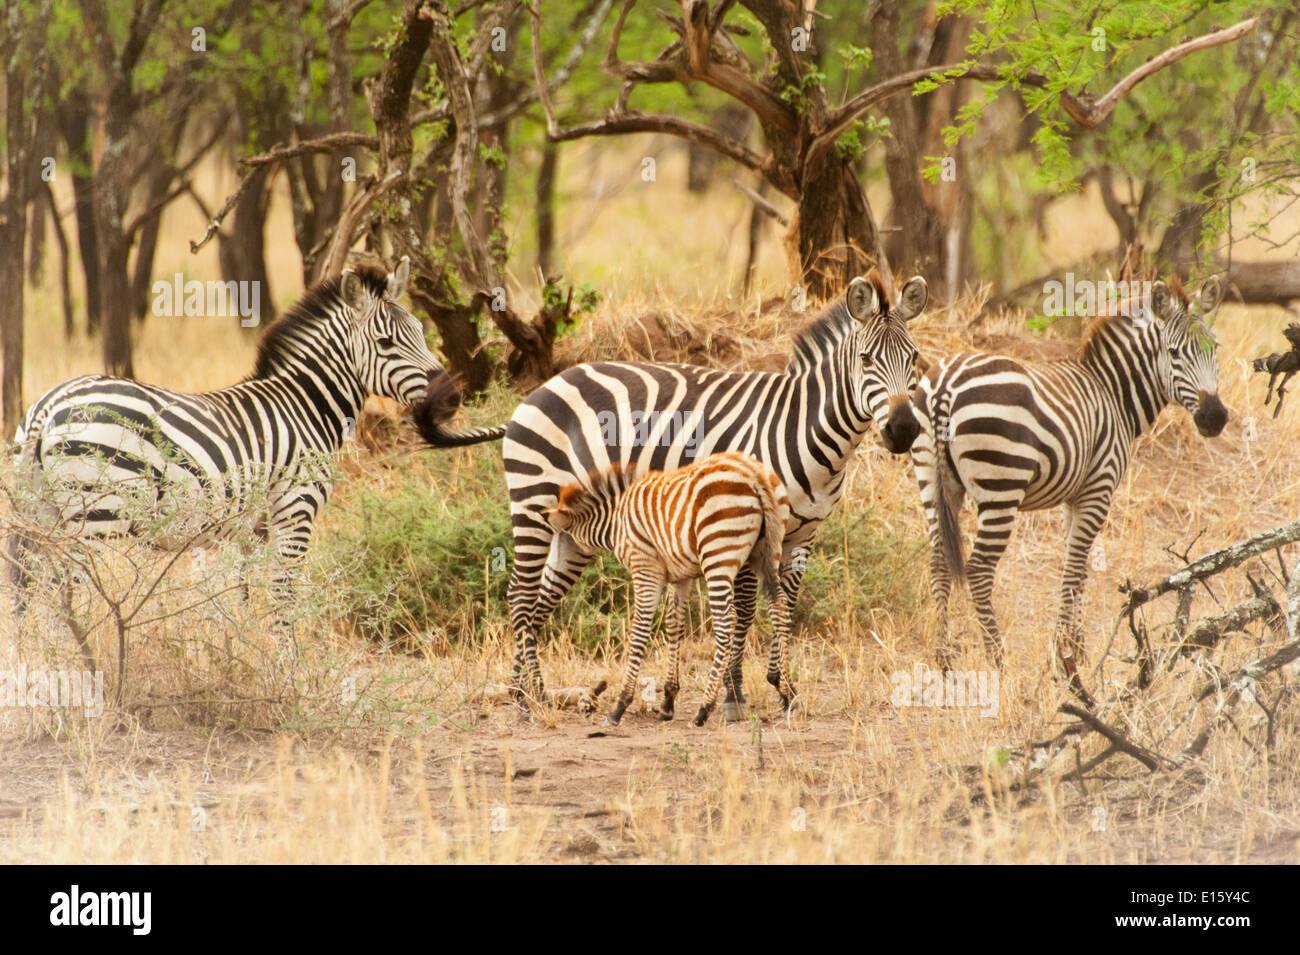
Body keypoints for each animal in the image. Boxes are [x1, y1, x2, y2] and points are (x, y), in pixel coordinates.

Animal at [8, 257, 496, 670]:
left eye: (421, 331)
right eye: (387, 342)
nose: (452, 399)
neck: (305, 405)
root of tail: (47, 407)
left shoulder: (247, 529)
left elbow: (238, 599)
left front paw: (239, 663)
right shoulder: (295, 510)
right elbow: (284, 594)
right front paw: (289, 674)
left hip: (42, 517)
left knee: (33, 597)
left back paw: (45, 674)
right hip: (93, 518)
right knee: (65, 598)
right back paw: (81, 675)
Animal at [546, 452, 790, 727]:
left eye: (559, 541)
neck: (615, 519)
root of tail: (753, 474)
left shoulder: (645, 568)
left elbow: (640, 629)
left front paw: (620, 705)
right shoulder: (680, 575)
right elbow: (674, 626)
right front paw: (668, 700)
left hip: (718, 555)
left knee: (727, 621)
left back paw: (704, 708)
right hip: (769, 551)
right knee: (779, 604)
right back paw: (788, 692)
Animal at [909, 276, 1222, 701]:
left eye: (1215, 349)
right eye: (1173, 354)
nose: (1215, 418)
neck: (1112, 393)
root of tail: (944, 384)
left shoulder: (1073, 499)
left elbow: (1078, 571)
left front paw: (1076, 649)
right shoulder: (1097, 489)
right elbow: (1075, 569)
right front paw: (1067, 657)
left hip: (932, 479)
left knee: (939, 562)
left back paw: (943, 661)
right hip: (1001, 485)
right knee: (978, 569)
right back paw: (998, 661)